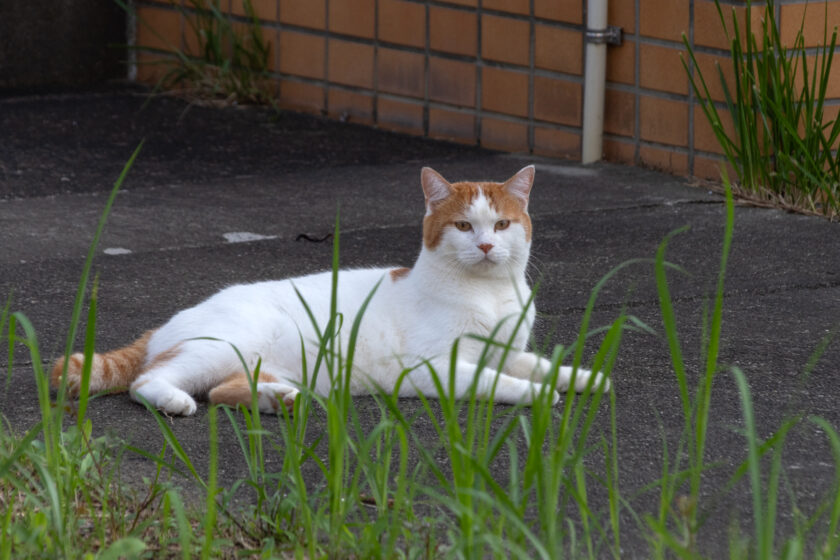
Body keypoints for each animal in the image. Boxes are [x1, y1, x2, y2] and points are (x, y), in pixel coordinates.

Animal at [52, 166, 608, 416]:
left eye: (502, 224)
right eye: (464, 227)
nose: (488, 245)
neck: (489, 294)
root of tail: (164, 324)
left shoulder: (508, 351)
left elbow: (541, 364)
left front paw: (583, 379)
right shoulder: (436, 368)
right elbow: (500, 382)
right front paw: (541, 395)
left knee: (225, 391)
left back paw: (280, 399)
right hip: (228, 344)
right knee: (154, 382)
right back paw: (176, 401)